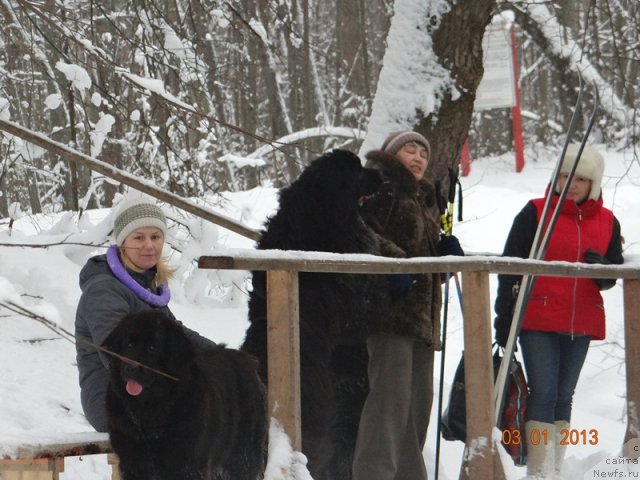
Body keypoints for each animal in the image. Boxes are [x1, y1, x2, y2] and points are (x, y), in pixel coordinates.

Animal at [104, 312, 268, 480]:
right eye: (129, 344)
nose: (130, 367)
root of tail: (249, 360)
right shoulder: (133, 464)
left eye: (152, 348)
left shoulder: (186, 465)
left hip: (241, 455)